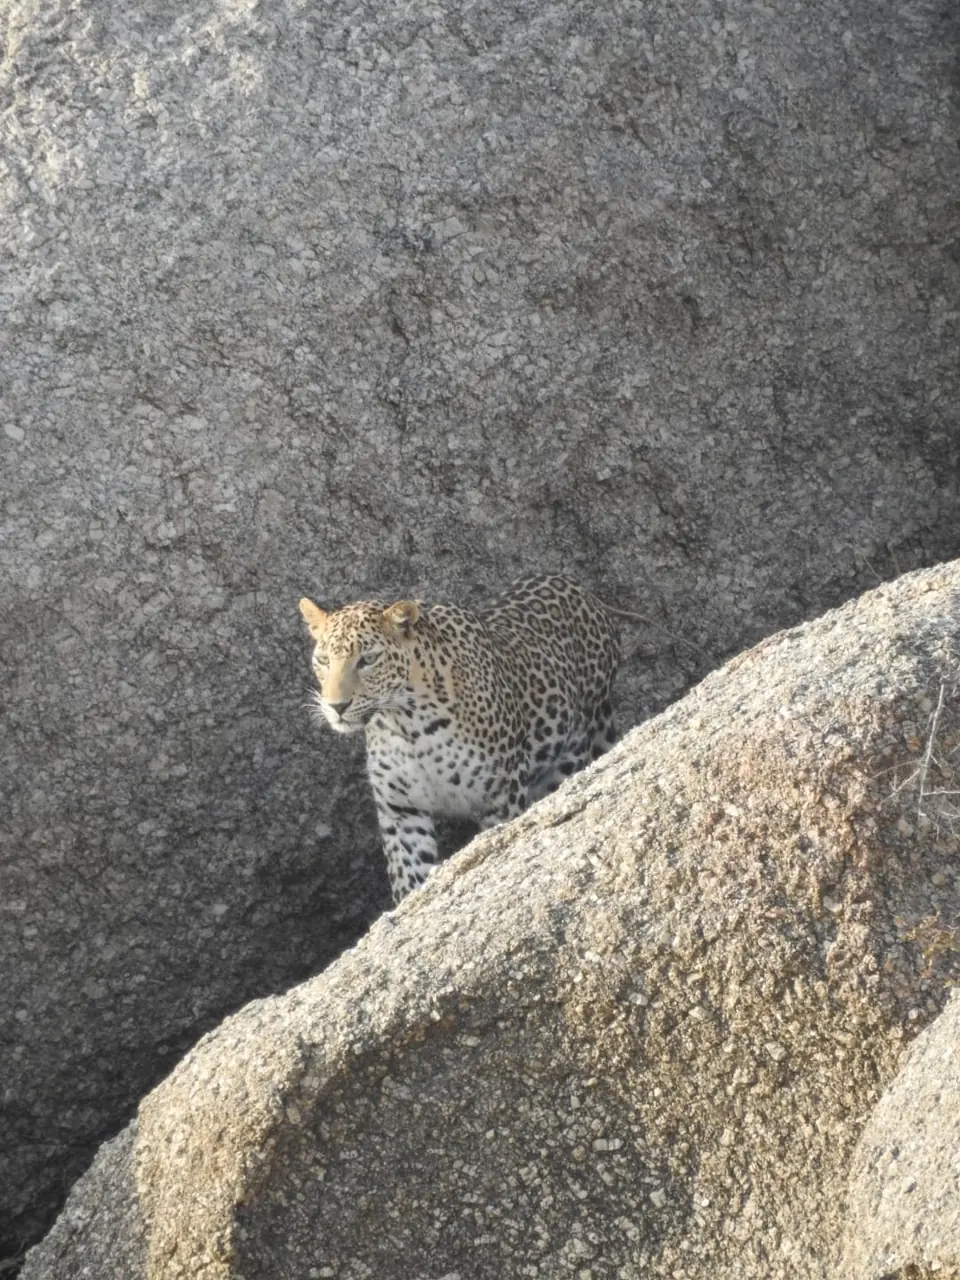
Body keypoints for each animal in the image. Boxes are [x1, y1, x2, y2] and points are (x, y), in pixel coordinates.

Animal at [299, 574, 620, 903]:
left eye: (369, 659)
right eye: (323, 660)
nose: (336, 706)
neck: (407, 726)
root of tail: (580, 589)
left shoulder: (501, 798)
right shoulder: (401, 811)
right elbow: (409, 878)